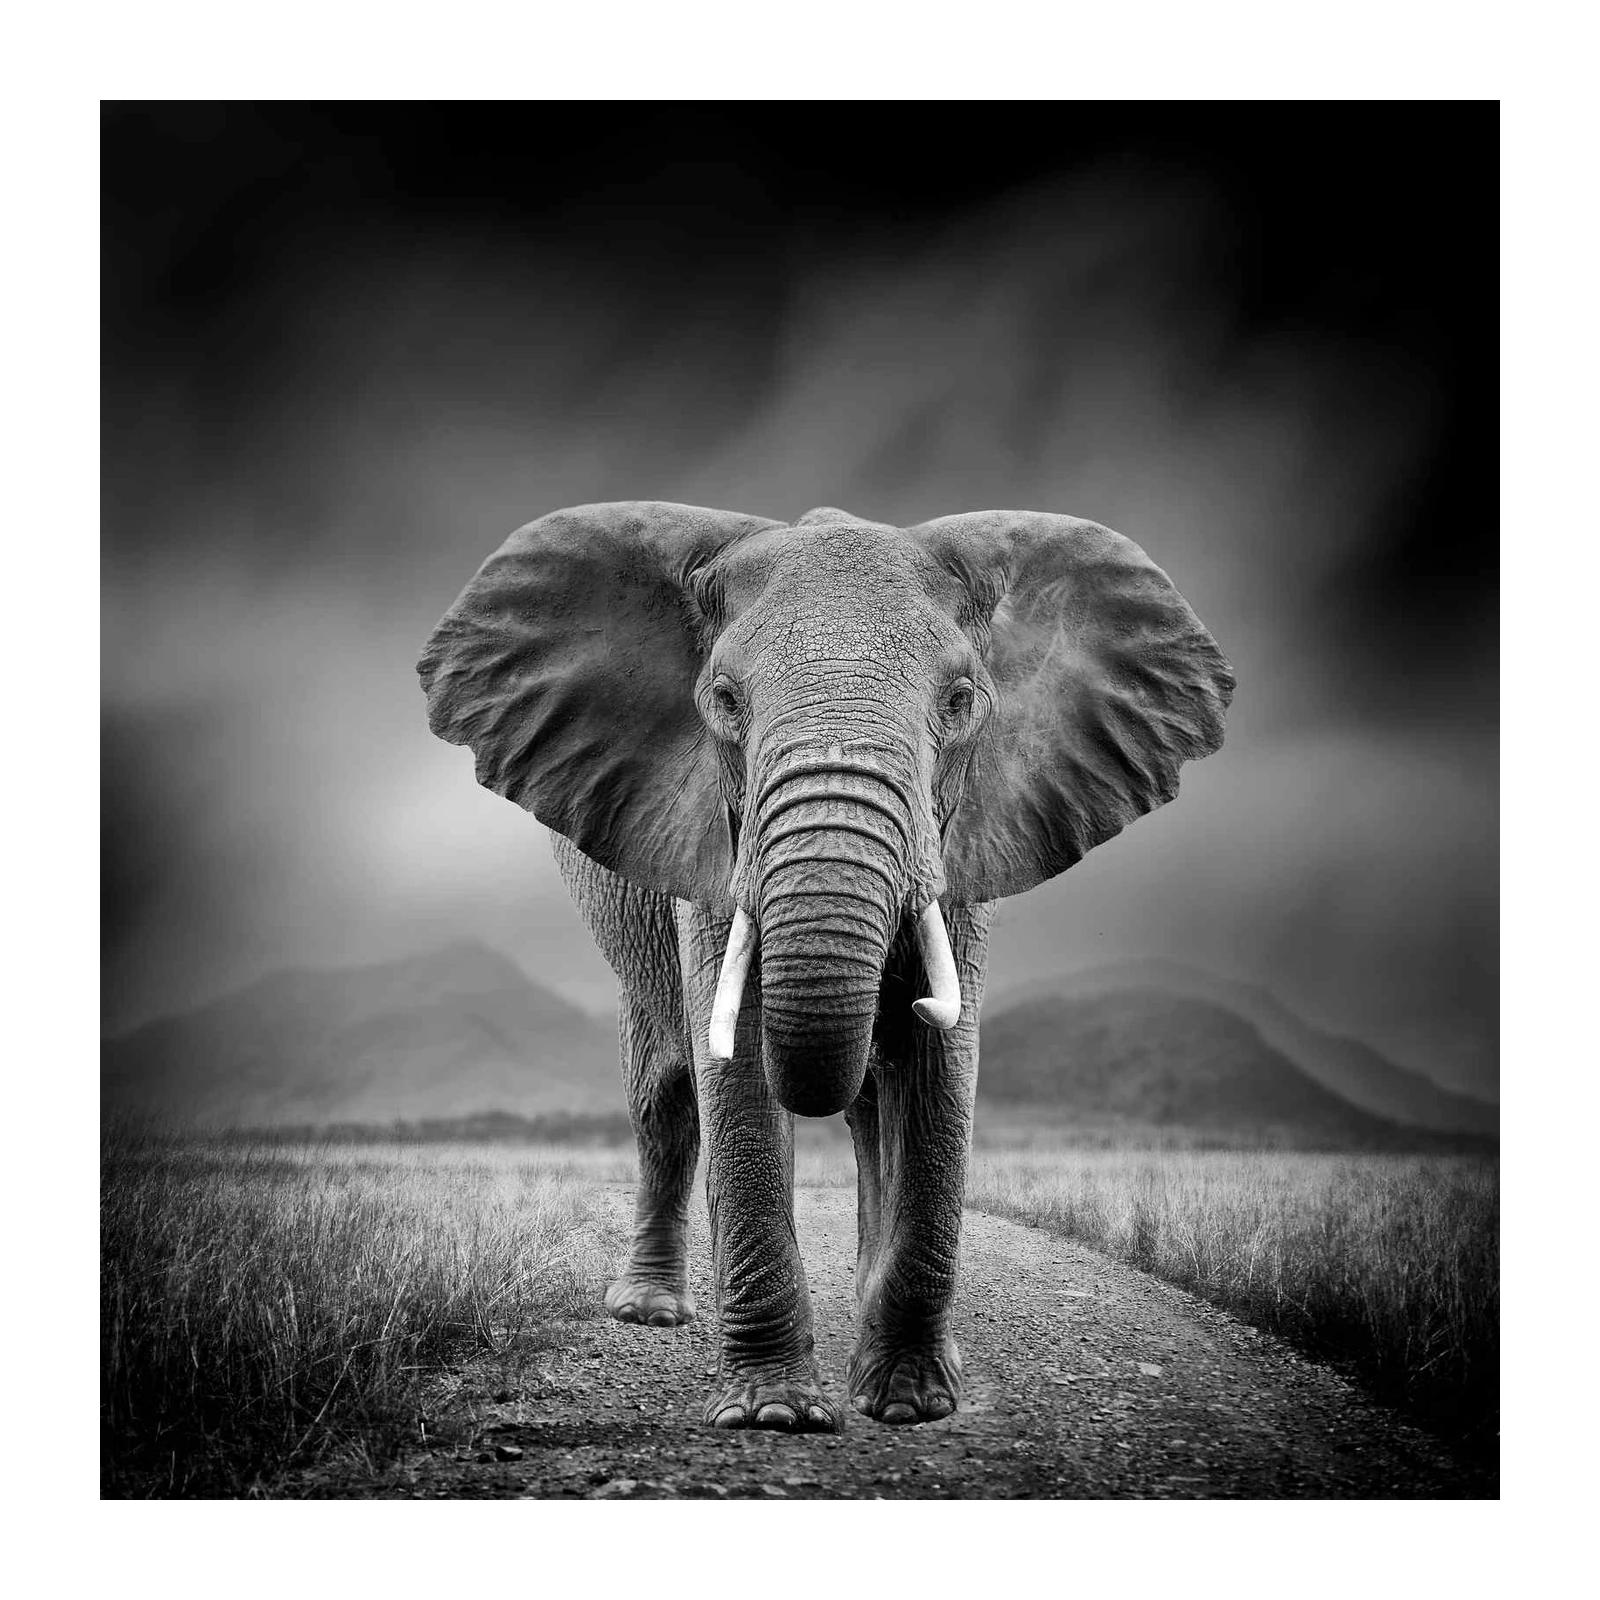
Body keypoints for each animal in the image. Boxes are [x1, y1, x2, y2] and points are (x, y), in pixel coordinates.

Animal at [417, 502, 1232, 1431]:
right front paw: (775, 1415)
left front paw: (910, 1403)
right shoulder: (713, 841)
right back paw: (650, 1311)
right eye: (724, 701)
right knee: (664, 1095)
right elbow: (733, 1066)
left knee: (872, 1104)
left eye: (961, 702)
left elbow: (939, 1066)